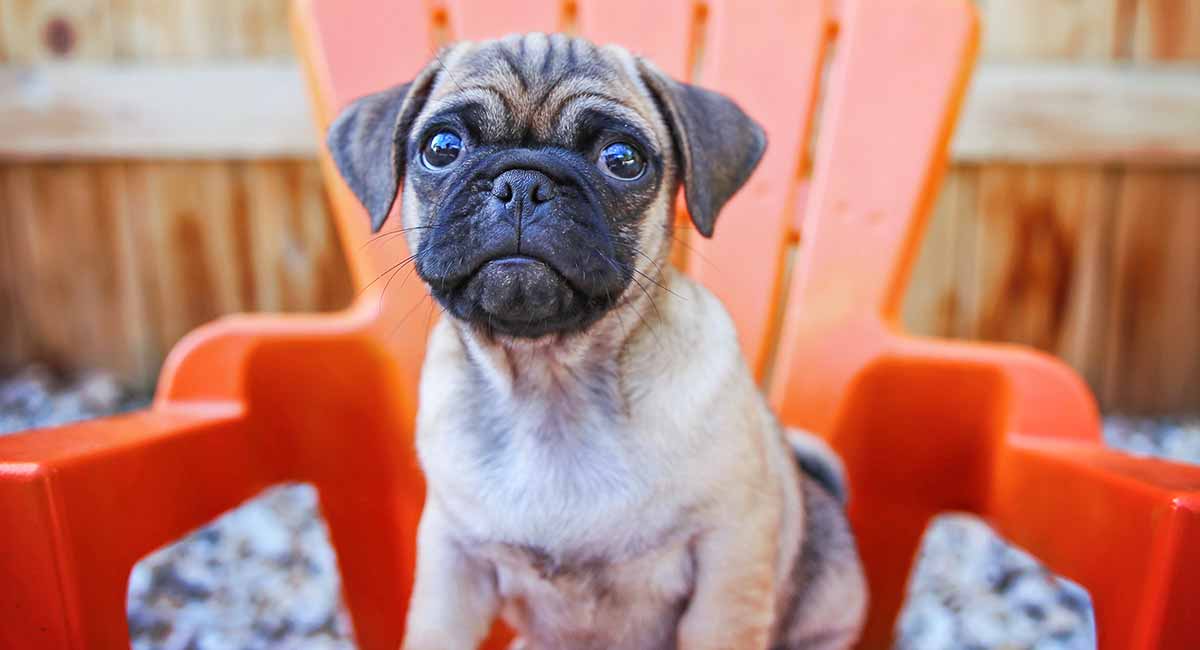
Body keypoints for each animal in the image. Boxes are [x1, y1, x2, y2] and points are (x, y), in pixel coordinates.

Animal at [324, 34, 864, 650]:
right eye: (442, 147)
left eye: (623, 160)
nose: (522, 184)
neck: (551, 384)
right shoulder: (453, 559)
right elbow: (437, 630)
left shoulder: (729, 556)